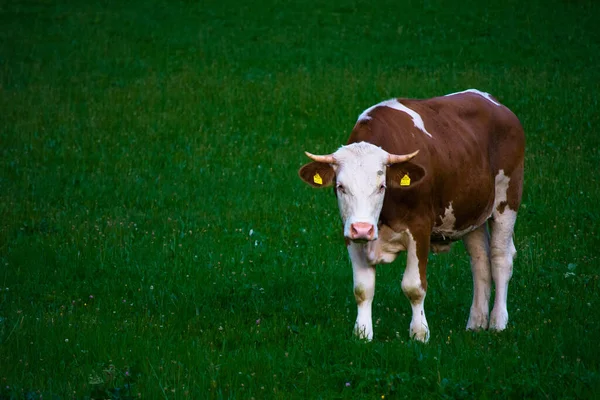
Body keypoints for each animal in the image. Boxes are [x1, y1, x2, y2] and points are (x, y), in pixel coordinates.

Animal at [298, 89, 524, 342]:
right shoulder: (350, 232)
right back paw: (476, 322)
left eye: (382, 186)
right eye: (340, 186)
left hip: (507, 199)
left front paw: (419, 333)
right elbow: (362, 288)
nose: (363, 228)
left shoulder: (420, 228)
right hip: (471, 213)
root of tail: (494, 102)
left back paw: (498, 322)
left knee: (500, 258)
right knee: (480, 262)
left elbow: (414, 286)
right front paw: (363, 334)